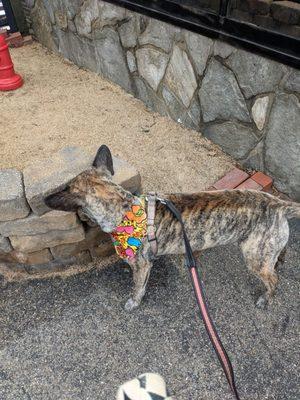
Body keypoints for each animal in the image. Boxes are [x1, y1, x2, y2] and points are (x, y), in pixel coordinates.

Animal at [44, 145, 300, 310]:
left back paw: (266, 299)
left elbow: (138, 287)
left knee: (273, 280)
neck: (126, 210)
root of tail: (278, 203)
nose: (82, 219)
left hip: (255, 257)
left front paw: (133, 303)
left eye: (80, 211)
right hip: (267, 247)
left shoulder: (142, 265)